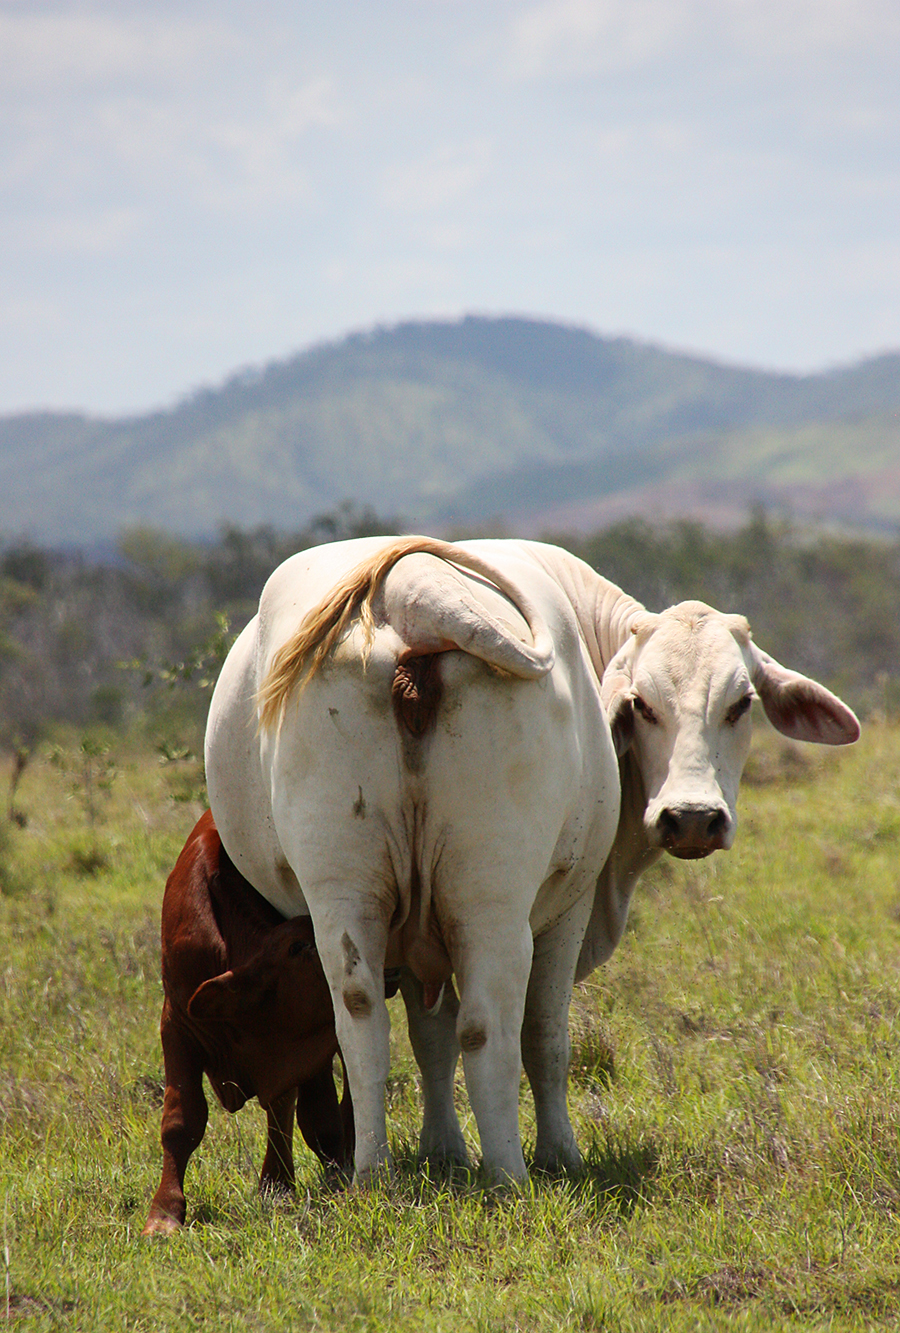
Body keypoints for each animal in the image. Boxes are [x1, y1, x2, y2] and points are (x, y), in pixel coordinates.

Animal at [142, 809, 353, 1236]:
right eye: (299, 946)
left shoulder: (310, 1044)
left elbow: (317, 1118)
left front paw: (327, 1181)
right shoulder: (176, 1026)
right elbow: (181, 1120)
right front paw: (164, 1213)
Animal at [204, 536, 859, 1186]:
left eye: (741, 703)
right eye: (643, 705)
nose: (693, 816)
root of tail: (414, 589)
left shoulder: (415, 930)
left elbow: (430, 1037)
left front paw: (443, 1149)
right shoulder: (570, 909)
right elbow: (545, 1038)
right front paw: (559, 1155)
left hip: (346, 893)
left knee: (363, 1020)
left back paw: (374, 1174)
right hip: (492, 901)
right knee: (491, 1026)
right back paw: (509, 1176)